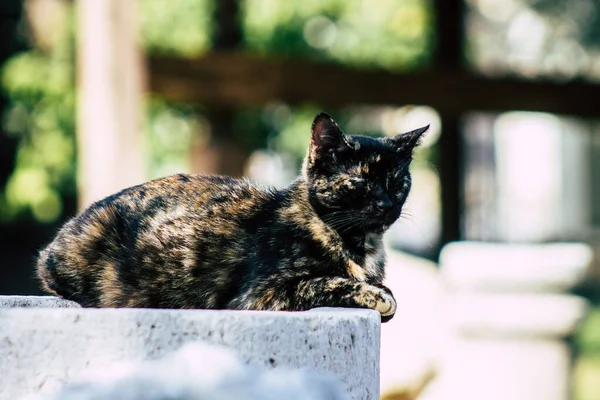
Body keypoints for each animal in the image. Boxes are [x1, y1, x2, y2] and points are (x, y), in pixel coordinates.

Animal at [36, 111, 426, 322]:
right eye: (359, 182)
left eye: (397, 182)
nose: (385, 205)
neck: (359, 245)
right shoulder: (260, 296)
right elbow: (327, 282)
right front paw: (379, 295)